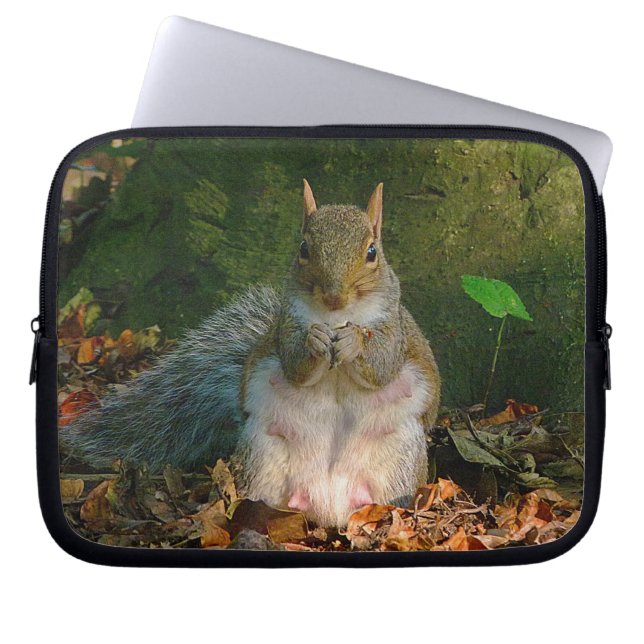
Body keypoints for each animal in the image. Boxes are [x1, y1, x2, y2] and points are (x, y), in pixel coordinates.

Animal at [62, 181, 441, 527]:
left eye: (372, 252)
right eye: (304, 248)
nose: (334, 296)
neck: (335, 316)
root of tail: (328, 506)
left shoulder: (394, 330)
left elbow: (383, 365)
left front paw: (353, 342)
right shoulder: (287, 325)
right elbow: (295, 365)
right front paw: (315, 340)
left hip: (399, 457)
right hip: (263, 453)